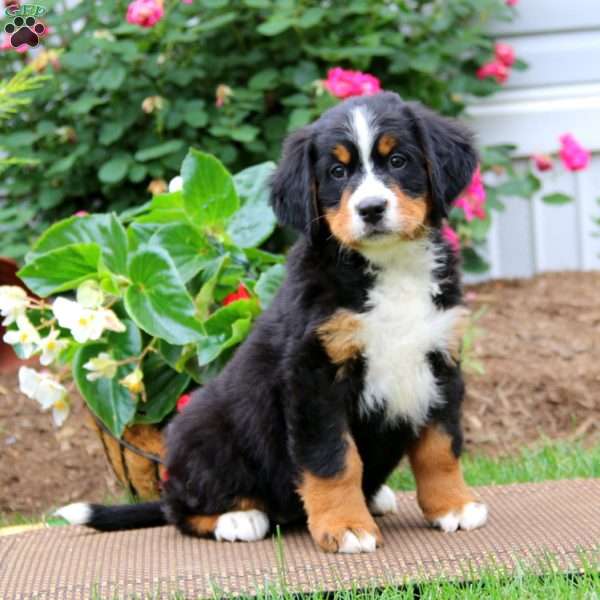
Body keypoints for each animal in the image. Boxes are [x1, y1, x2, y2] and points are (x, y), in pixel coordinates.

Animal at [57, 91, 488, 556]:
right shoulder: (313, 378)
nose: (371, 209)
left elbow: (440, 448)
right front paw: (346, 526)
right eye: (337, 172)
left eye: (398, 160)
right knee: (178, 506)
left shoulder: (438, 360)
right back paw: (239, 517)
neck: (389, 267)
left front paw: (453, 506)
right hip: (202, 426)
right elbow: (334, 459)